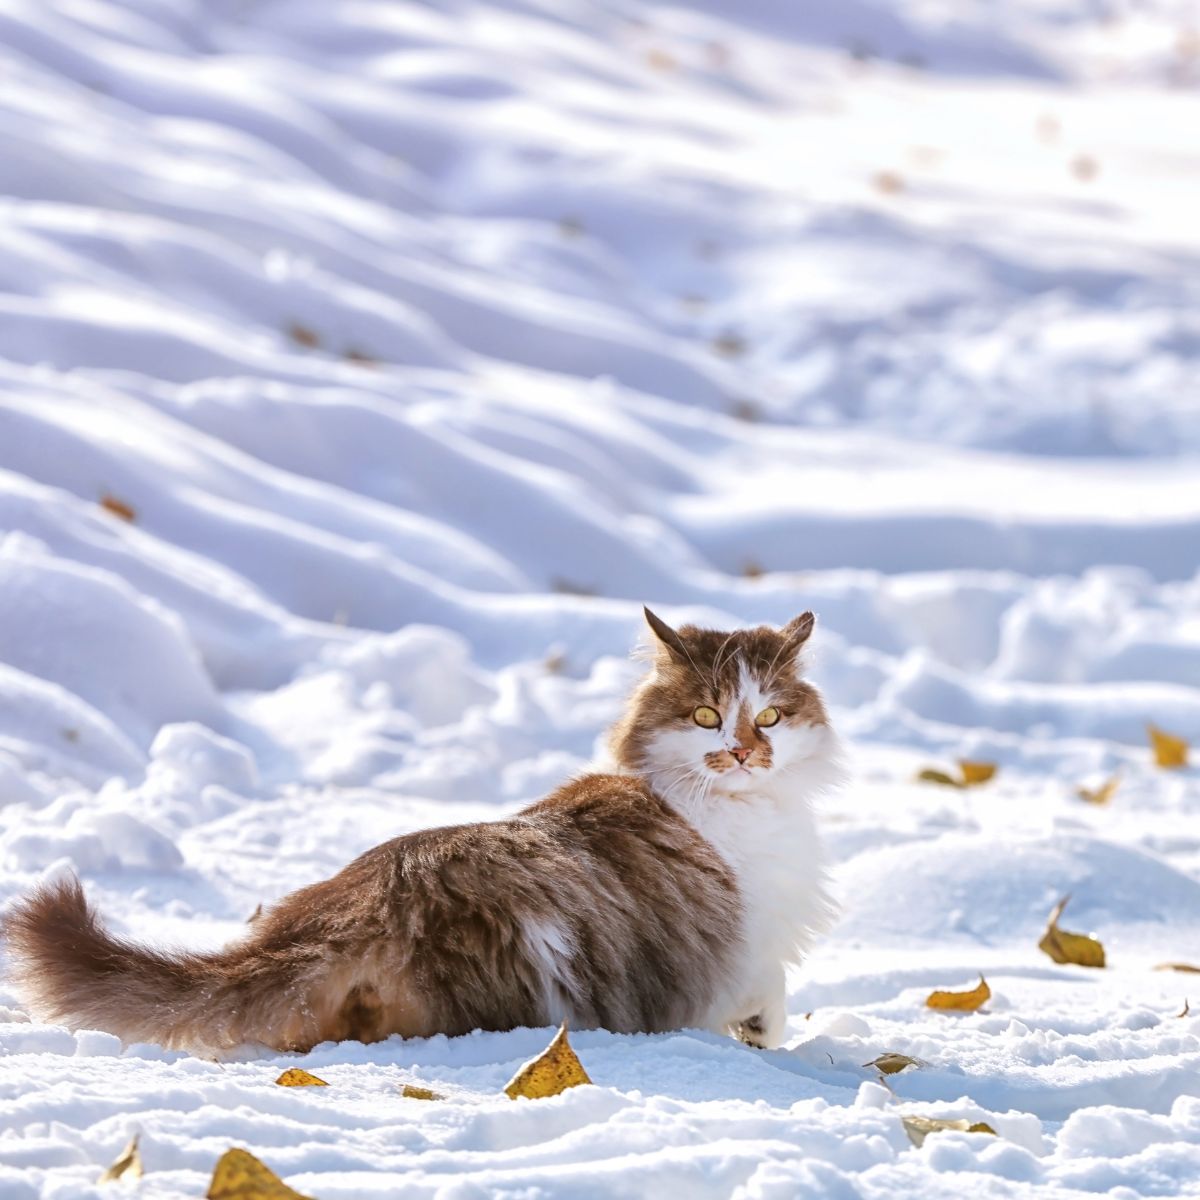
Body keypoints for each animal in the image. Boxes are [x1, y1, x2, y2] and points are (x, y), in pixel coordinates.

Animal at [2, 609, 844, 1051]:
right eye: (705, 715)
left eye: (770, 715)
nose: (744, 751)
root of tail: (361, 905)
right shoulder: (744, 942)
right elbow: (765, 994)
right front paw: (761, 1040)